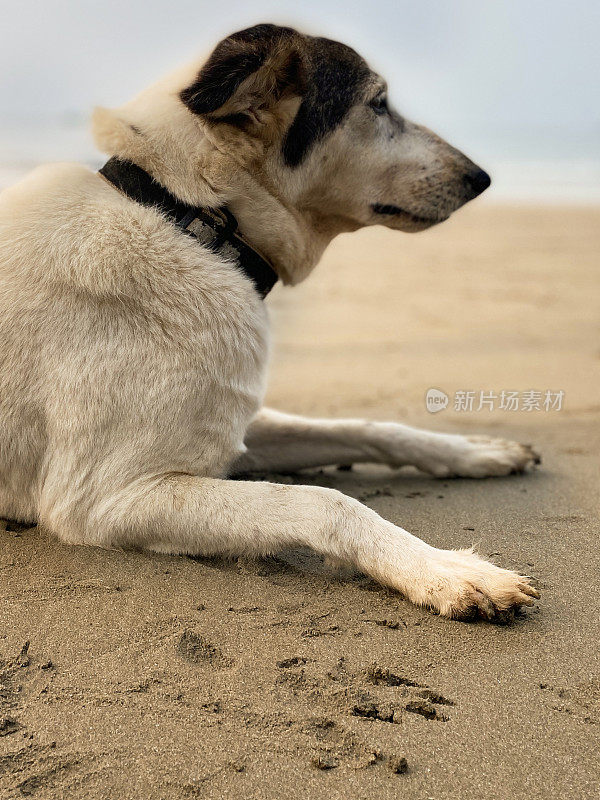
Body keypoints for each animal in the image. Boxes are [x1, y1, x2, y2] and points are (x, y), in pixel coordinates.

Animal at [0, 23, 540, 620]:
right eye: (378, 104)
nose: (481, 178)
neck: (193, 220)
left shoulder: (226, 429)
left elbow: (368, 427)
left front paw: (474, 451)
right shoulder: (106, 497)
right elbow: (328, 503)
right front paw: (445, 571)